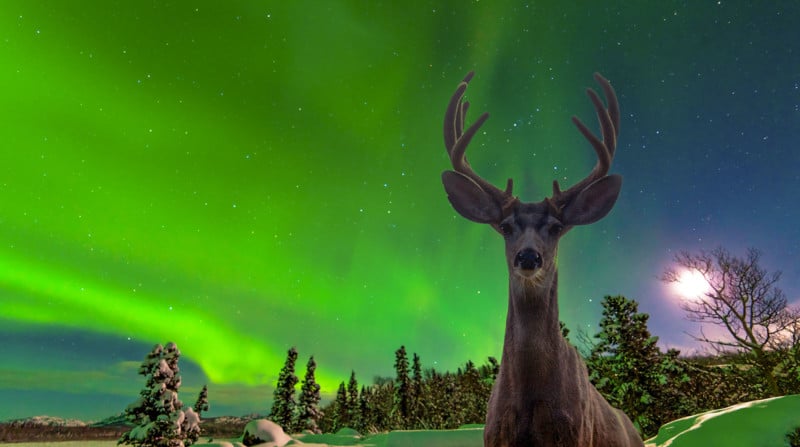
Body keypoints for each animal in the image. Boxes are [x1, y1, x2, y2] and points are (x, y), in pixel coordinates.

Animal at [444, 72, 644, 446]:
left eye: (556, 227)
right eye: (505, 226)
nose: (528, 256)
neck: (529, 394)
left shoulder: (575, 434)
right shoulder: (495, 436)